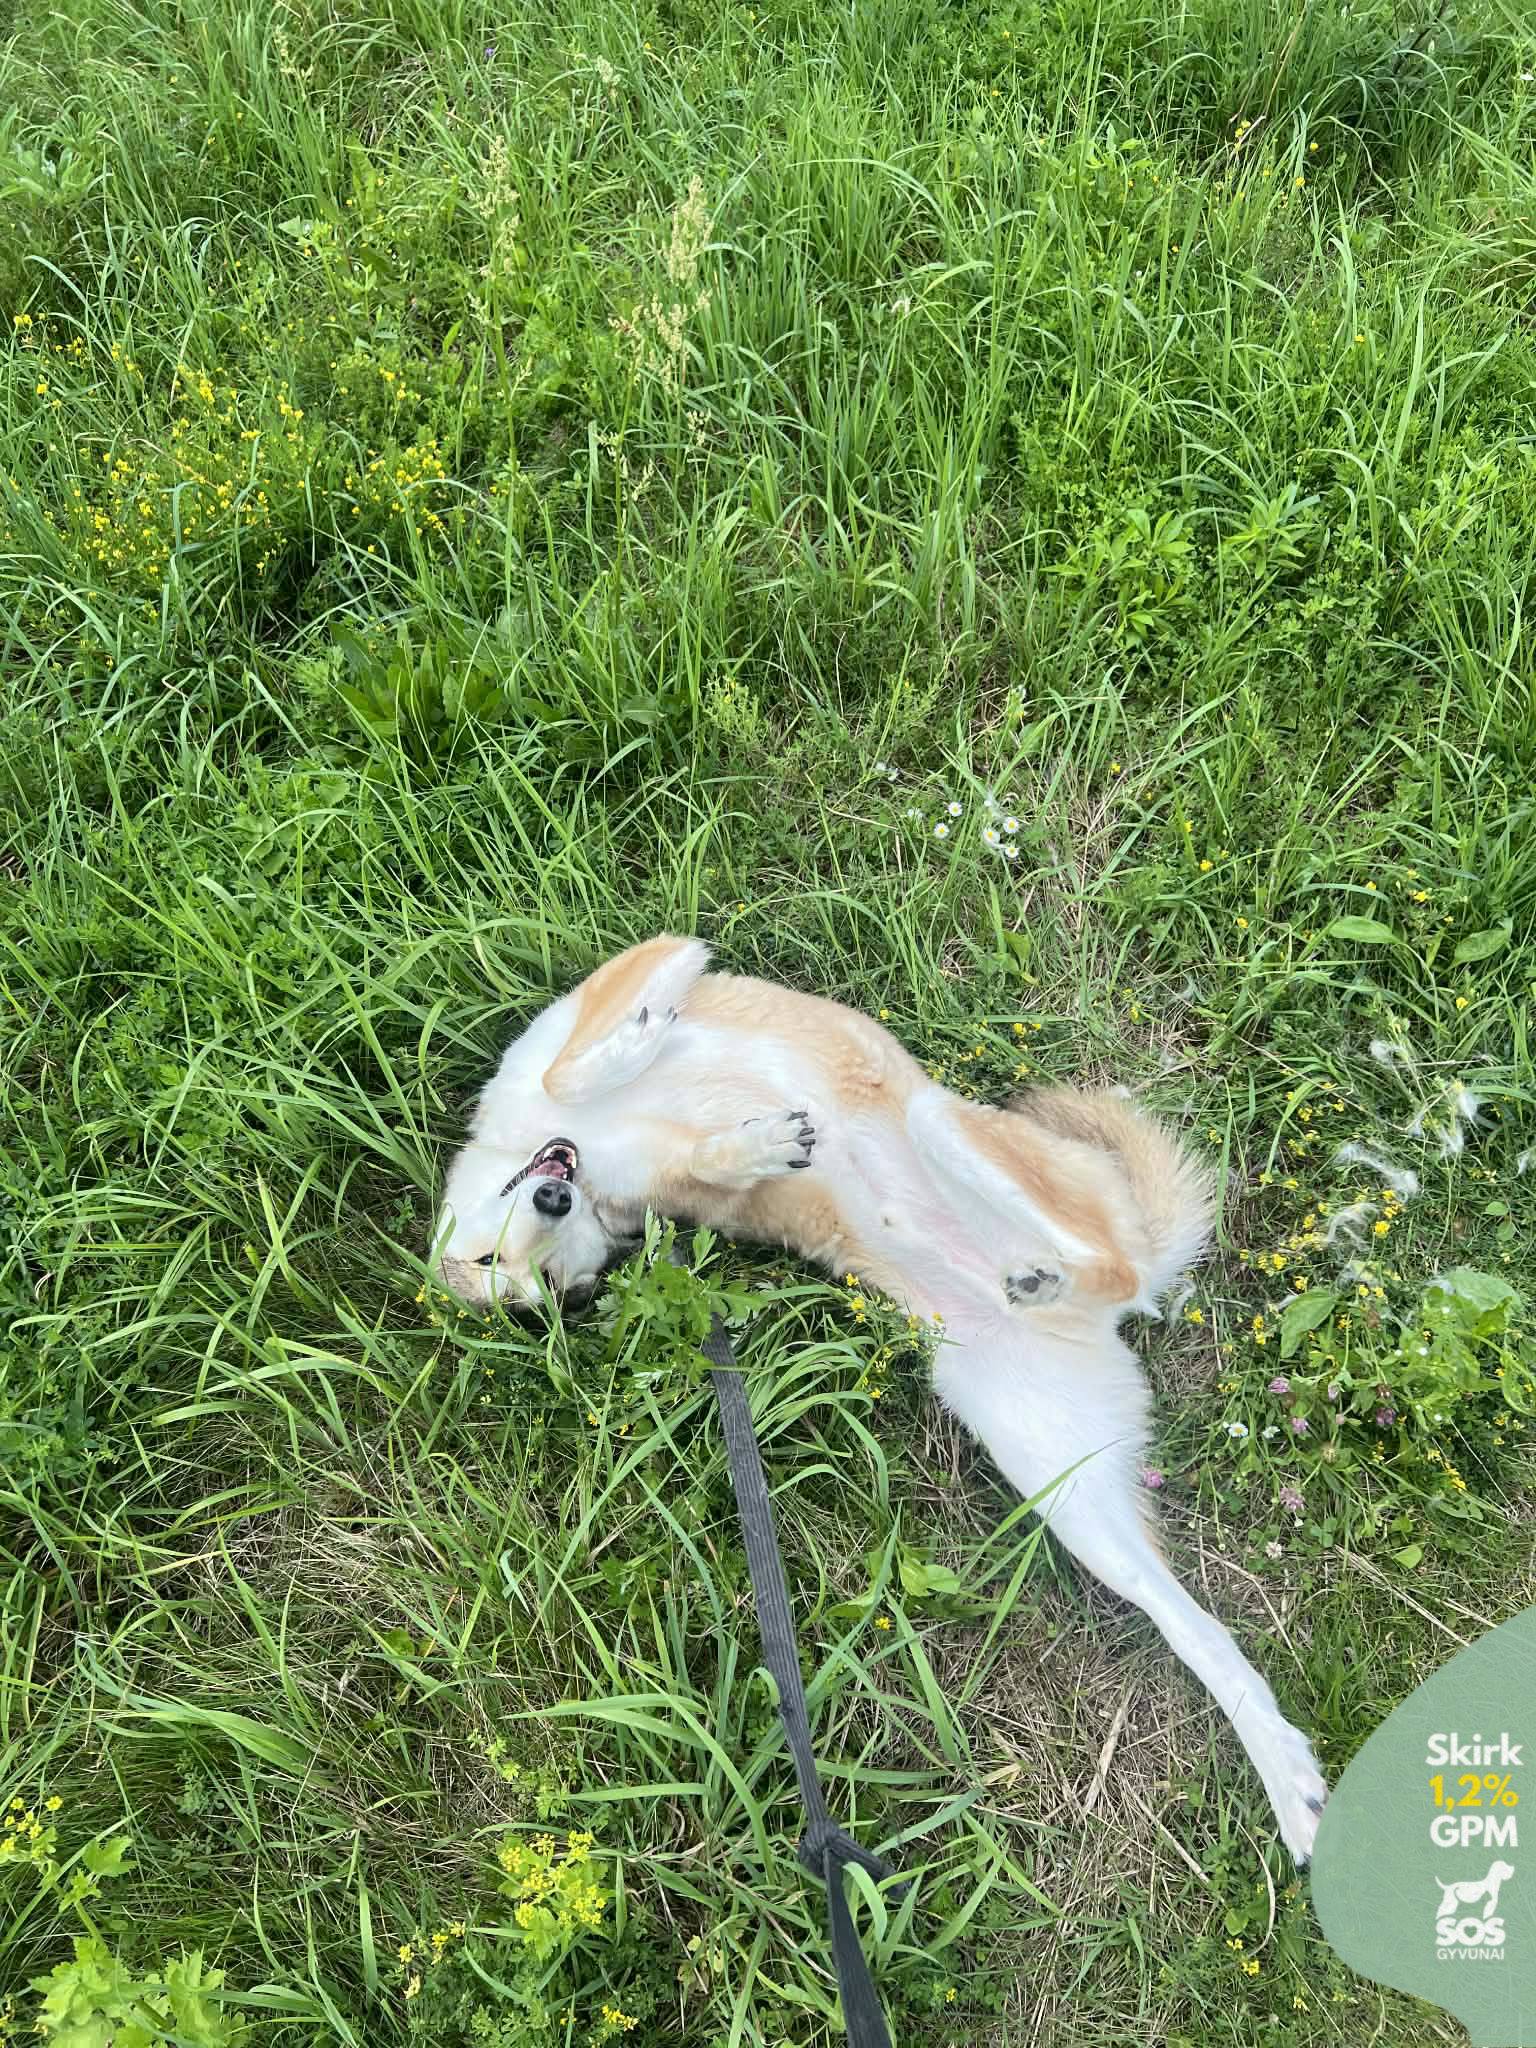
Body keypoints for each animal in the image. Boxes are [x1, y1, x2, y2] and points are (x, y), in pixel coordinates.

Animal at [433, 934, 1329, 1862]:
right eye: (532, 1282)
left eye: (515, 1266)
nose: (553, 1193)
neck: (582, 1165)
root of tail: (1109, 1297)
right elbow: (693, 1151)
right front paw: (752, 1145)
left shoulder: (620, 993)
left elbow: (580, 1066)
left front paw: (666, 1052)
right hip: (1063, 1488)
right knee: (1191, 1624)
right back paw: (1289, 1779)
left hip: (947, 1126)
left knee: (1095, 1252)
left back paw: (1047, 1274)